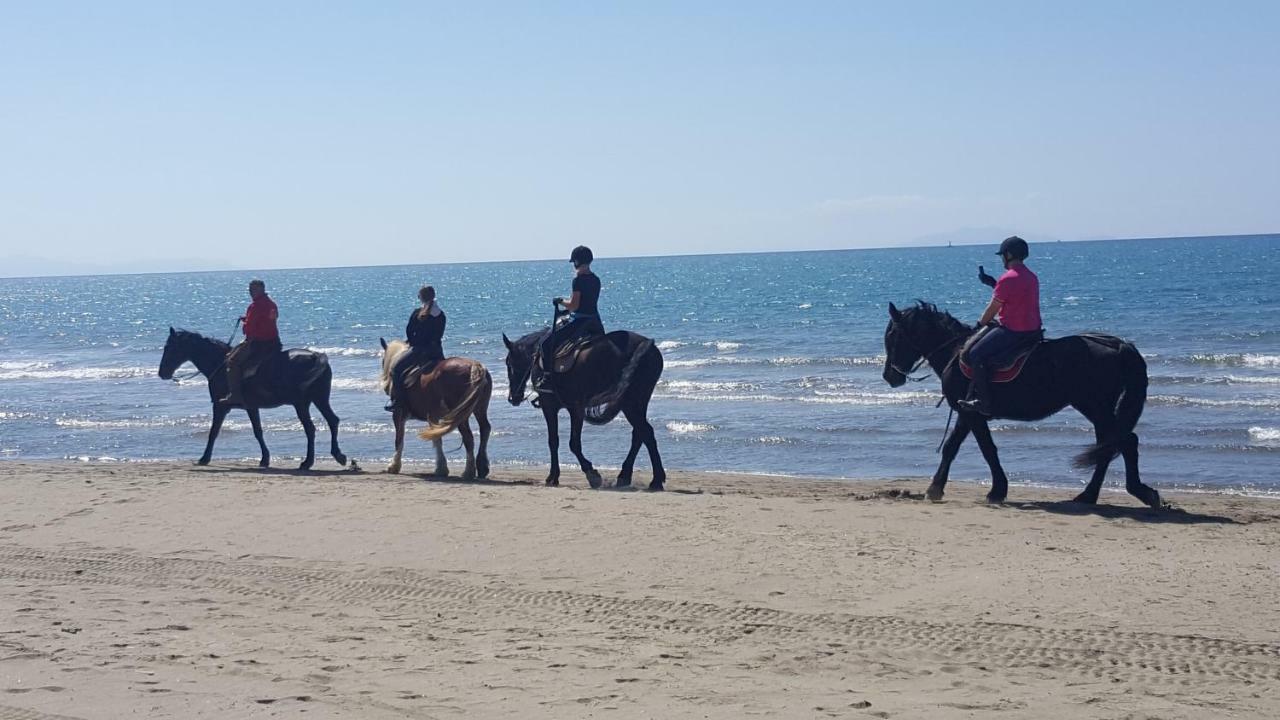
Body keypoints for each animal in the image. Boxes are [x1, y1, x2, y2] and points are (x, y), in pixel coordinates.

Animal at [156, 326, 348, 471]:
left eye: (169, 347)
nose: (162, 372)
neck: (219, 364)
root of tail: (316, 356)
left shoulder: (220, 407)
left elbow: (214, 432)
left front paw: (204, 458)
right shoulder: (251, 407)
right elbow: (258, 431)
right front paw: (265, 459)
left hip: (301, 404)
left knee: (310, 428)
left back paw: (308, 462)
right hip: (319, 399)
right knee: (332, 421)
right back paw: (338, 455)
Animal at [376, 338, 491, 479]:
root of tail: (474, 366)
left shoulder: (398, 413)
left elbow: (399, 439)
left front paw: (394, 466)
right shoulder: (433, 416)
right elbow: (436, 439)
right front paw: (441, 468)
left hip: (461, 414)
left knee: (468, 437)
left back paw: (468, 471)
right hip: (480, 408)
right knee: (485, 429)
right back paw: (482, 467)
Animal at [499, 325, 665, 486]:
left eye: (509, 364)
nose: (513, 397)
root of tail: (647, 344)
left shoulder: (560, 408)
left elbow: (569, 443)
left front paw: (590, 474)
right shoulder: (562, 408)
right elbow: (555, 441)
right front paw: (554, 476)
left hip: (631, 403)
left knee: (645, 432)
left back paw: (655, 480)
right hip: (636, 402)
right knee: (640, 433)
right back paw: (627, 476)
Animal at [880, 299, 1162, 507]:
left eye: (892, 335)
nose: (889, 376)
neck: (955, 351)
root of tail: (1118, 345)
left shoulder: (972, 413)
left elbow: (983, 449)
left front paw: (992, 491)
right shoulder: (966, 412)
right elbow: (956, 447)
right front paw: (940, 488)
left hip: (1095, 407)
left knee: (1124, 442)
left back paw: (1139, 492)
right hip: (1098, 409)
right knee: (1109, 446)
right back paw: (1089, 495)